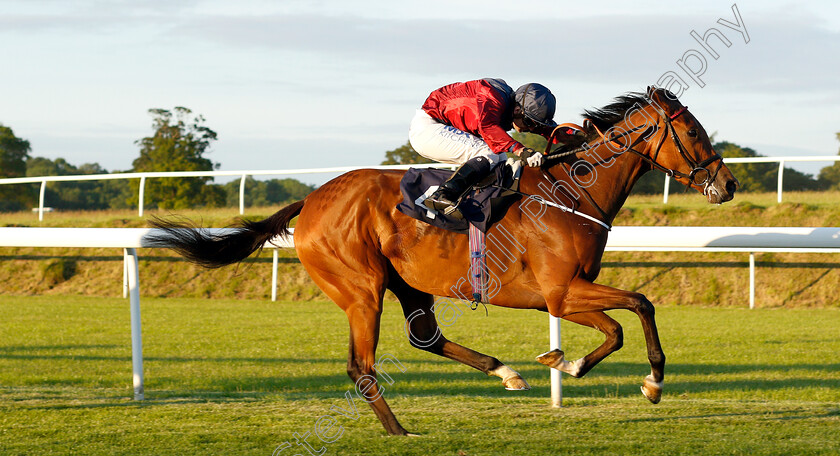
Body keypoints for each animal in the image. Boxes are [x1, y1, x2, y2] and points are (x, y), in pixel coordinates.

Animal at [149, 85, 736, 434]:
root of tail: (311, 200)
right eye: (692, 131)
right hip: (362, 290)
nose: (727, 185)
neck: (570, 193)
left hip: (406, 282)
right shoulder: (560, 292)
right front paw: (647, 381)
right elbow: (639, 306)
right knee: (361, 366)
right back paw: (398, 430)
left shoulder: (565, 295)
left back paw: (505, 373)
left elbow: (620, 325)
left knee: (424, 337)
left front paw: (564, 363)